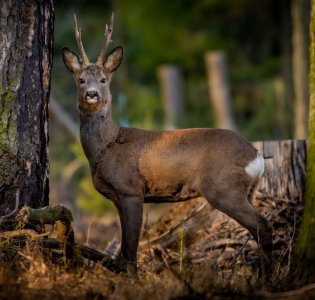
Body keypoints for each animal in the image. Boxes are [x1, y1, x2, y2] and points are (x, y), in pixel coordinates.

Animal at [63, 13, 272, 276]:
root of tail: (255, 154)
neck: (106, 147)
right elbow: (124, 247)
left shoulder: (131, 190)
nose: (92, 94)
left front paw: (132, 279)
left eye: (103, 79)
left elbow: (130, 248)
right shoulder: (118, 196)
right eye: (80, 80)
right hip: (248, 190)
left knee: (263, 226)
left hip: (225, 188)